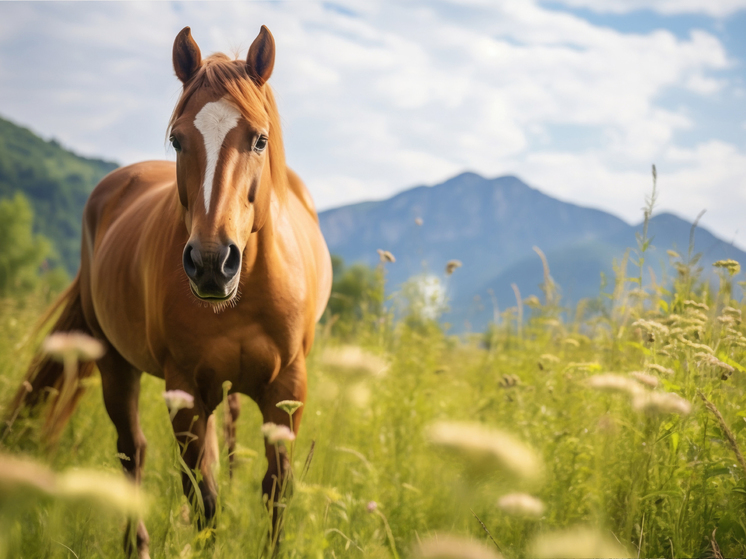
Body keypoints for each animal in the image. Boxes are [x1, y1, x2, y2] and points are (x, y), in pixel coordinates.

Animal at [6, 25, 332, 556]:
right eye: (178, 140)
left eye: (260, 139)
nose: (211, 263)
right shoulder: (185, 390)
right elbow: (204, 499)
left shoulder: (288, 389)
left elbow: (275, 492)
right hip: (115, 362)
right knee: (131, 451)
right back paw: (135, 543)